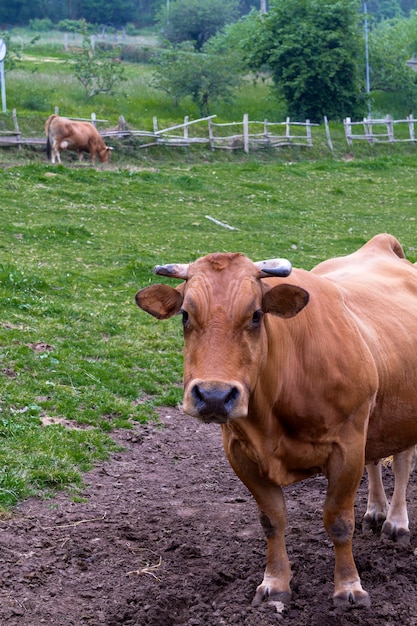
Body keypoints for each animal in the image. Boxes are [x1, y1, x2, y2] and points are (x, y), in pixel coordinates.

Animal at [134, 233, 417, 604]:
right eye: (184, 314)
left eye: (256, 315)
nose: (214, 395)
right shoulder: (240, 451)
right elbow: (272, 520)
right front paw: (275, 584)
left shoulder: (348, 445)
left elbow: (339, 521)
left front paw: (348, 587)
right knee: (376, 459)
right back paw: (376, 510)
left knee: (402, 462)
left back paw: (396, 522)